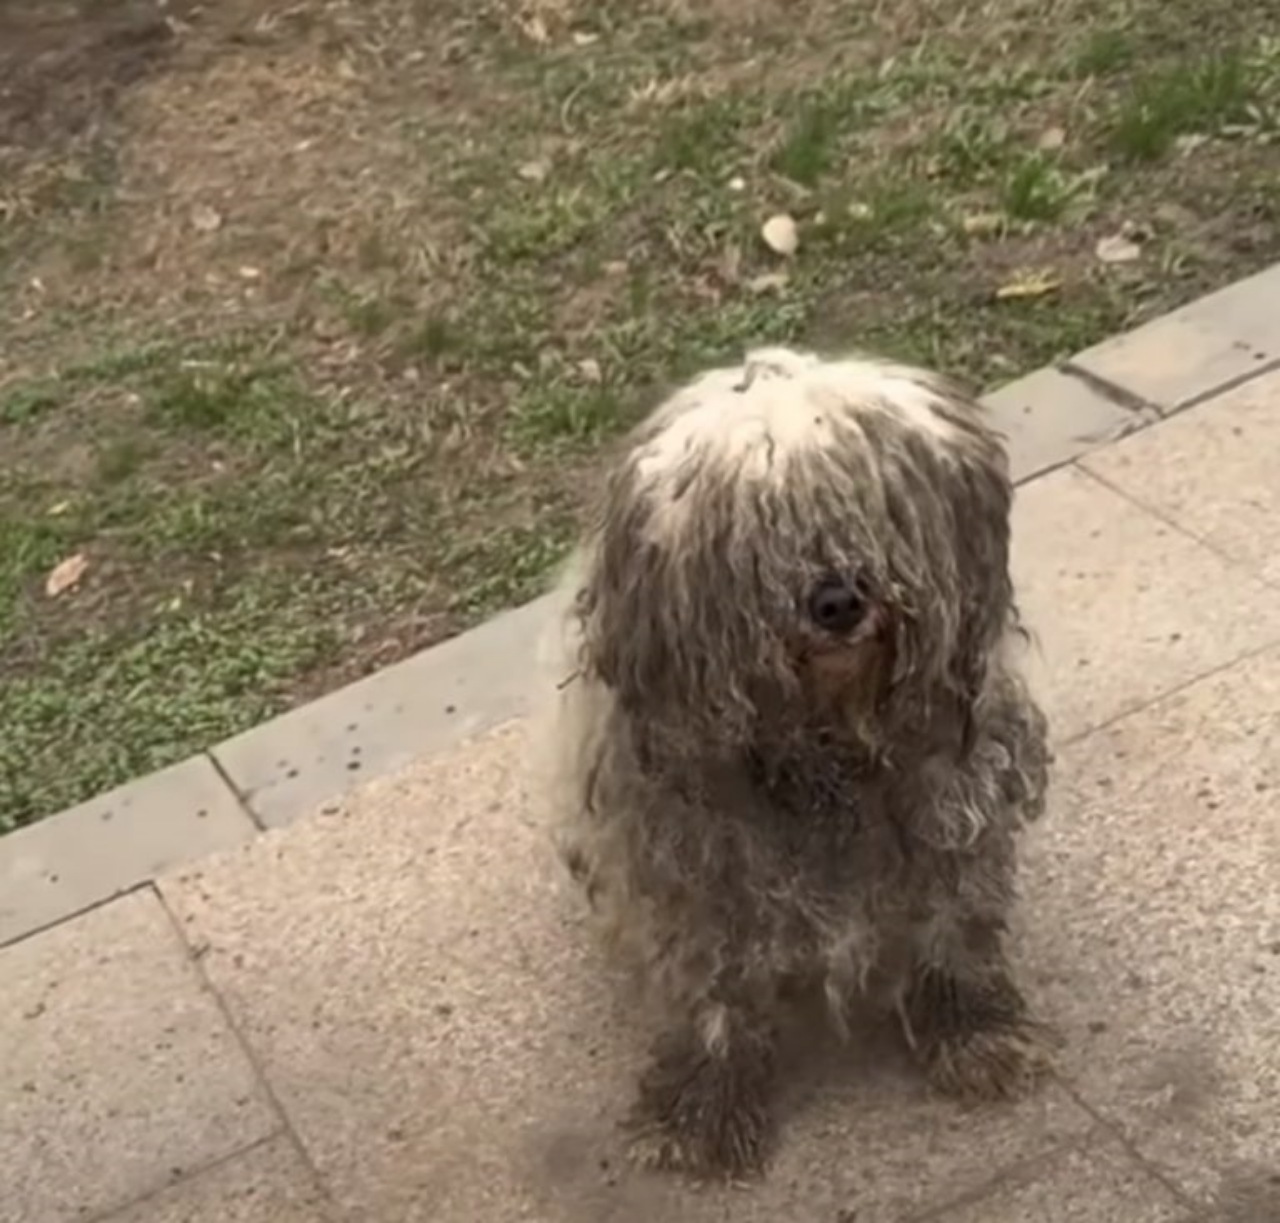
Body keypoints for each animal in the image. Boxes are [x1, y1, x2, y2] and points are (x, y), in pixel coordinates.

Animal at [545, 343, 1054, 1178]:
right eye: (752, 532)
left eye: (872, 500)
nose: (839, 601)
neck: (826, 742)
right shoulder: (695, 856)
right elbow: (713, 985)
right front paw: (703, 1105)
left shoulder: (950, 805)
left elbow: (951, 924)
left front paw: (974, 1033)